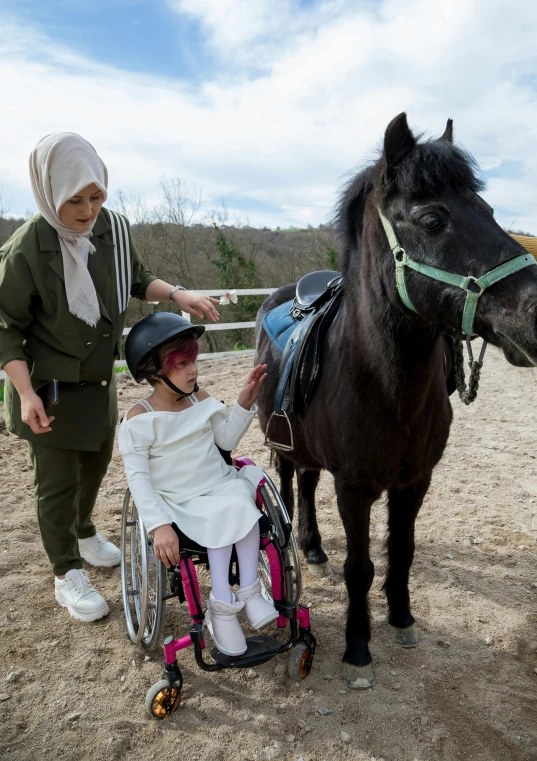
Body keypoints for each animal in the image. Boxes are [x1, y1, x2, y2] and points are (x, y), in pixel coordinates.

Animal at [253, 114, 536, 688]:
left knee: (308, 482)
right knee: (292, 481)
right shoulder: (355, 488)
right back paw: (300, 541)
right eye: (432, 219)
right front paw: (358, 647)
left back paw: (313, 546)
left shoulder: (415, 481)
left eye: (490, 212)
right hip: (283, 440)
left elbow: (401, 552)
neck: (385, 389)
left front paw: (402, 619)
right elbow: (360, 568)